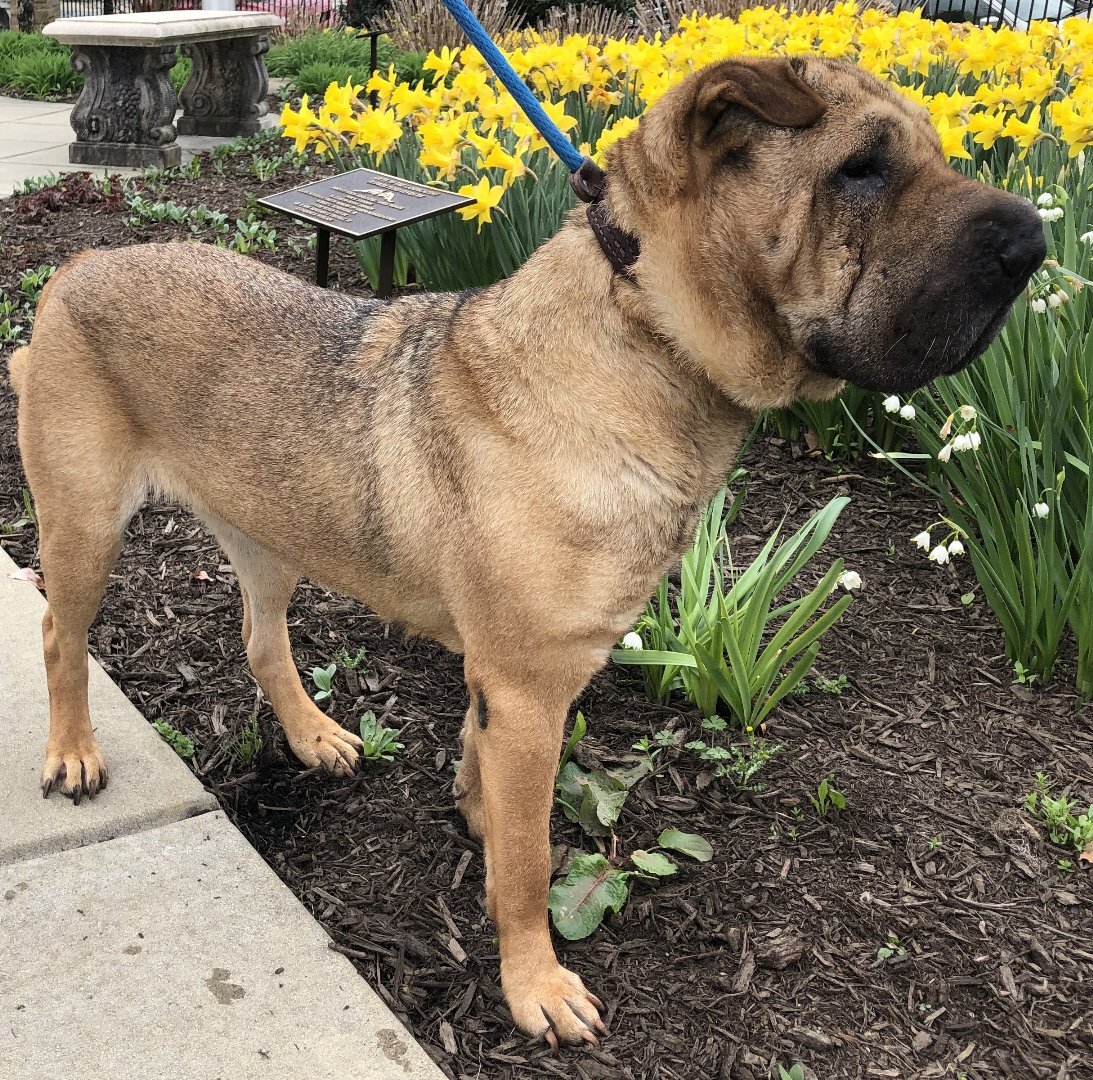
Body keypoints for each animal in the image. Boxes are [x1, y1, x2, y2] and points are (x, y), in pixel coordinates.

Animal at [12, 56, 1044, 1045]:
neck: (642, 338)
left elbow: (486, 781)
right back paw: (73, 752)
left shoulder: (509, 684)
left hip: (269, 528)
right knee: (61, 634)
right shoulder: (529, 689)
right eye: (859, 169)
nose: (1034, 244)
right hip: (86, 526)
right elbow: (529, 856)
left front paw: (476, 815)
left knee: (263, 641)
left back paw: (310, 734)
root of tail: (81, 265)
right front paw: (533, 982)